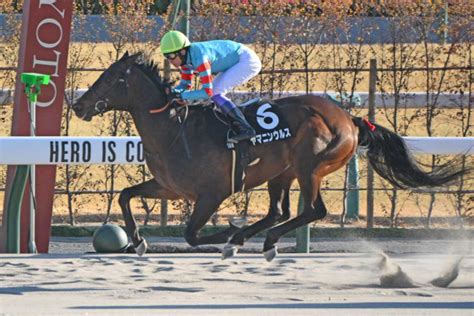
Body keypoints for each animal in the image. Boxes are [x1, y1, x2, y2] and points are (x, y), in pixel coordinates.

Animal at [73, 53, 466, 262]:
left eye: (109, 79)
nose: (77, 105)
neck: (173, 129)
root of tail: (349, 118)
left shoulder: (212, 193)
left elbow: (191, 235)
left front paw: (228, 235)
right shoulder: (170, 188)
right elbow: (126, 196)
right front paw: (137, 239)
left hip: (311, 165)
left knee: (313, 210)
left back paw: (257, 239)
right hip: (283, 173)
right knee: (281, 212)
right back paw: (255, 237)